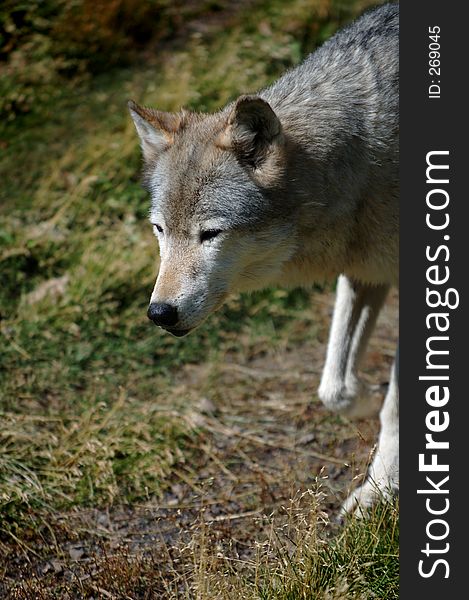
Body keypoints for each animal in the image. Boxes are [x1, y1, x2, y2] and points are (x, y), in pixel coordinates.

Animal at [129, 2, 398, 512]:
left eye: (210, 234)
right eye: (160, 230)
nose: (159, 313)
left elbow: (394, 408)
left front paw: (380, 493)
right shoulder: (365, 273)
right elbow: (334, 387)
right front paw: (370, 399)